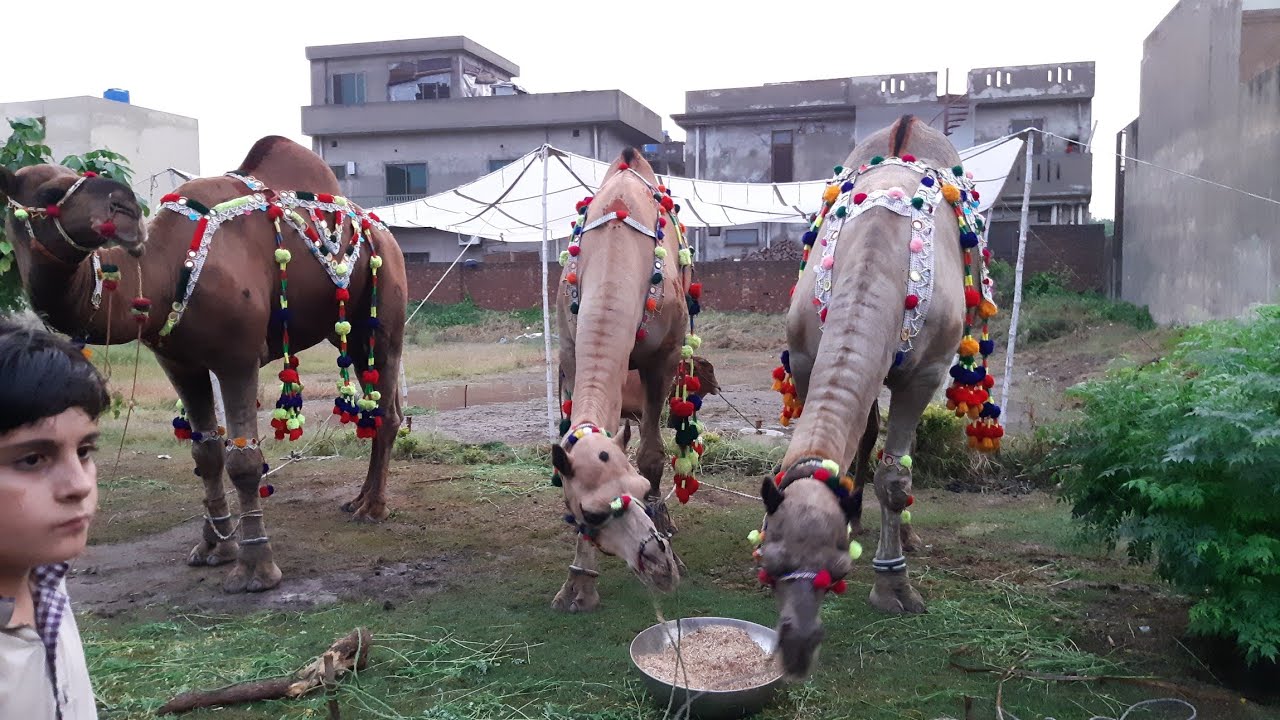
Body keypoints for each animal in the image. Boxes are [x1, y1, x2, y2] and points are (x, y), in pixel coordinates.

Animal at [1, 136, 407, 594]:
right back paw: (358, 500)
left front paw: (255, 569)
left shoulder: (237, 357)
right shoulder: (179, 362)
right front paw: (214, 546)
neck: (165, 270)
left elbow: (243, 461)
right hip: (352, 328)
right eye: (50, 192)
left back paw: (373, 509)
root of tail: (383, 231)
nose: (124, 208)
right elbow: (206, 452)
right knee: (378, 407)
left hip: (381, 308)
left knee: (387, 409)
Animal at [549, 148, 706, 612]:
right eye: (591, 513)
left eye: (638, 489)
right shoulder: (570, 349)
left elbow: (653, 454)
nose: (659, 565)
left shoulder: (663, 357)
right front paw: (578, 588)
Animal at [758, 115, 1004, 678]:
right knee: (866, 431)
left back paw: (905, 536)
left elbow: (895, 477)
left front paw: (894, 585)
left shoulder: (924, 374)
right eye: (772, 563)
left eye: (836, 570)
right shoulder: (805, 358)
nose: (798, 647)